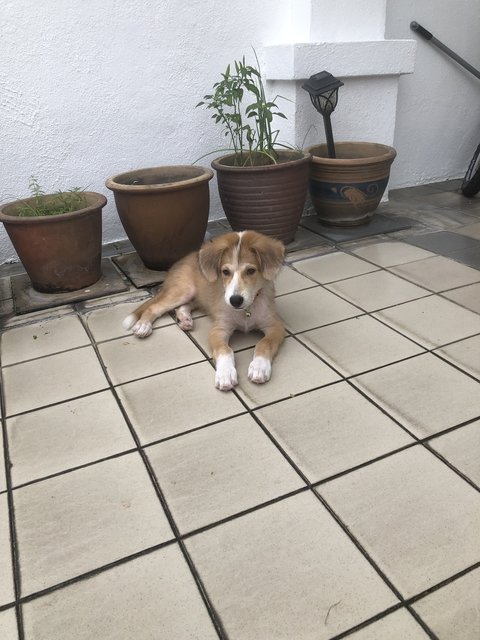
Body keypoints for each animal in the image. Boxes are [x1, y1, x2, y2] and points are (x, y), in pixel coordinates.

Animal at [123, 230, 284, 390]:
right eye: (225, 272)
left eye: (251, 270)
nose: (235, 301)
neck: (246, 311)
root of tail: (178, 263)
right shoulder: (218, 329)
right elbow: (225, 350)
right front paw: (225, 374)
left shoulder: (275, 326)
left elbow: (264, 343)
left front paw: (259, 367)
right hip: (184, 290)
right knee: (154, 307)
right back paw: (143, 325)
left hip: (196, 295)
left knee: (184, 306)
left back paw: (185, 320)